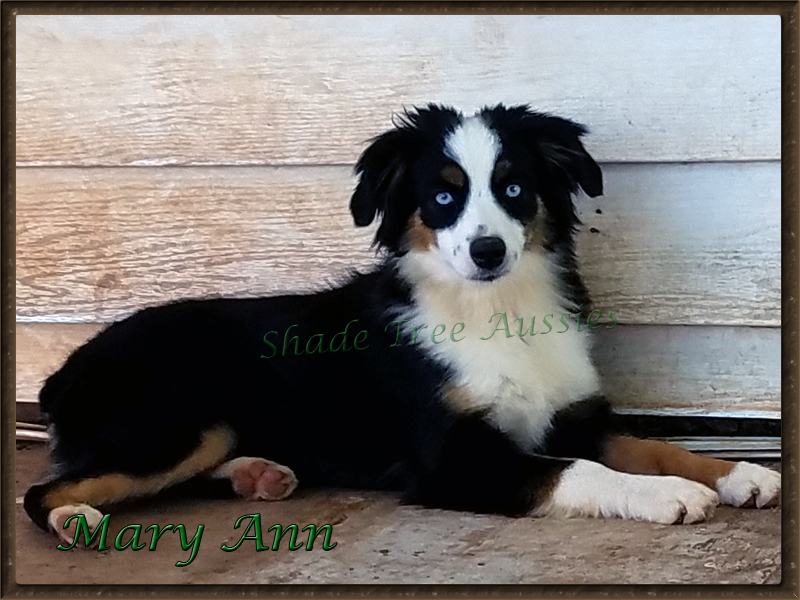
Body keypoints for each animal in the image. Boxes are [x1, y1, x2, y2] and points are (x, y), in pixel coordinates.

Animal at [26, 105, 780, 548]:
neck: (498, 310)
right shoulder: (452, 459)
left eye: (514, 187)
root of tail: (65, 369)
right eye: (442, 197)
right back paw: (75, 520)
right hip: (174, 424)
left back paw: (259, 474)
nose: (487, 251)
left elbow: (652, 444)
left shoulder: (571, 416)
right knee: (45, 490)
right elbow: (582, 470)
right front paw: (668, 496)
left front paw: (738, 472)